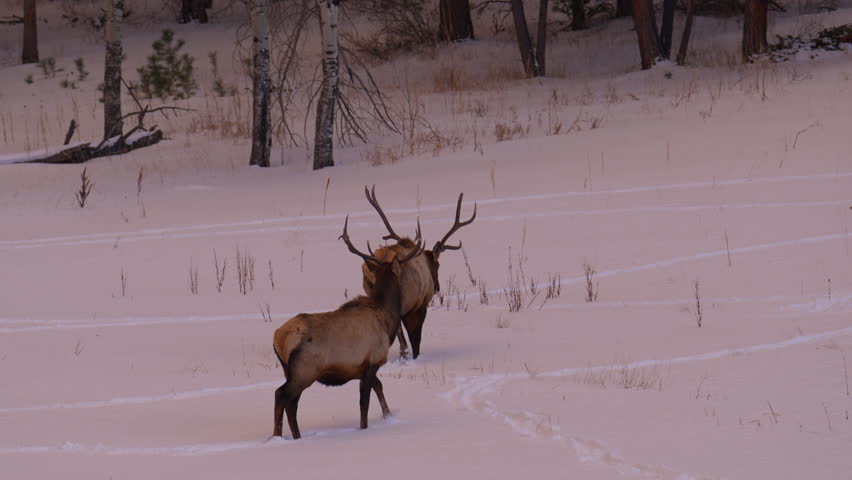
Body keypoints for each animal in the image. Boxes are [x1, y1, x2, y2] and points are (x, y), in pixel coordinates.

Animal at [272, 216, 422, 439]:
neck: (387, 320)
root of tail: (278, 338)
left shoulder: (362, 368)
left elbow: (379, 387)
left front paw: (388, 415)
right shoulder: (372, 361)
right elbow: (364, 402)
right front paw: (365, 427)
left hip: (289, 371)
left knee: (291, 403)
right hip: (304, 370)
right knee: (281, 395)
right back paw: (281, 436)